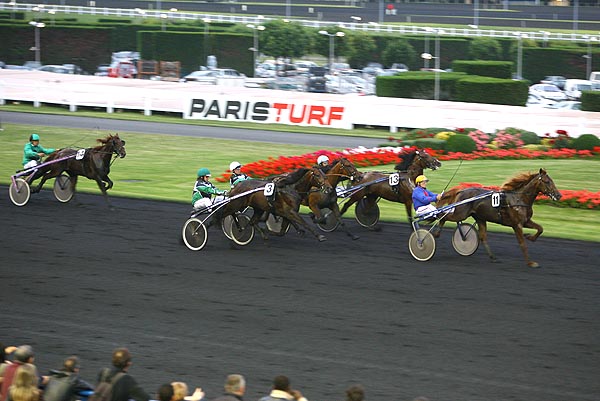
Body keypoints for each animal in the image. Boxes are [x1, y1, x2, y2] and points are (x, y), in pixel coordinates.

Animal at [436, 167, 564, 268]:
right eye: (547, 182)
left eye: (552, 181)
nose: (559, 195)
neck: (519, 199)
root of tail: (461, 190)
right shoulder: (517, 225)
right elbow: (522, 244)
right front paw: (530, 263)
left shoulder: (526, 221)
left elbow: (540, 228)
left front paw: (530, 237)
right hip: (460, 213)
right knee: (443, 216)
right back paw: (436, 233)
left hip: (480, 218)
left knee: (483, 237)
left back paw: (492, 257)